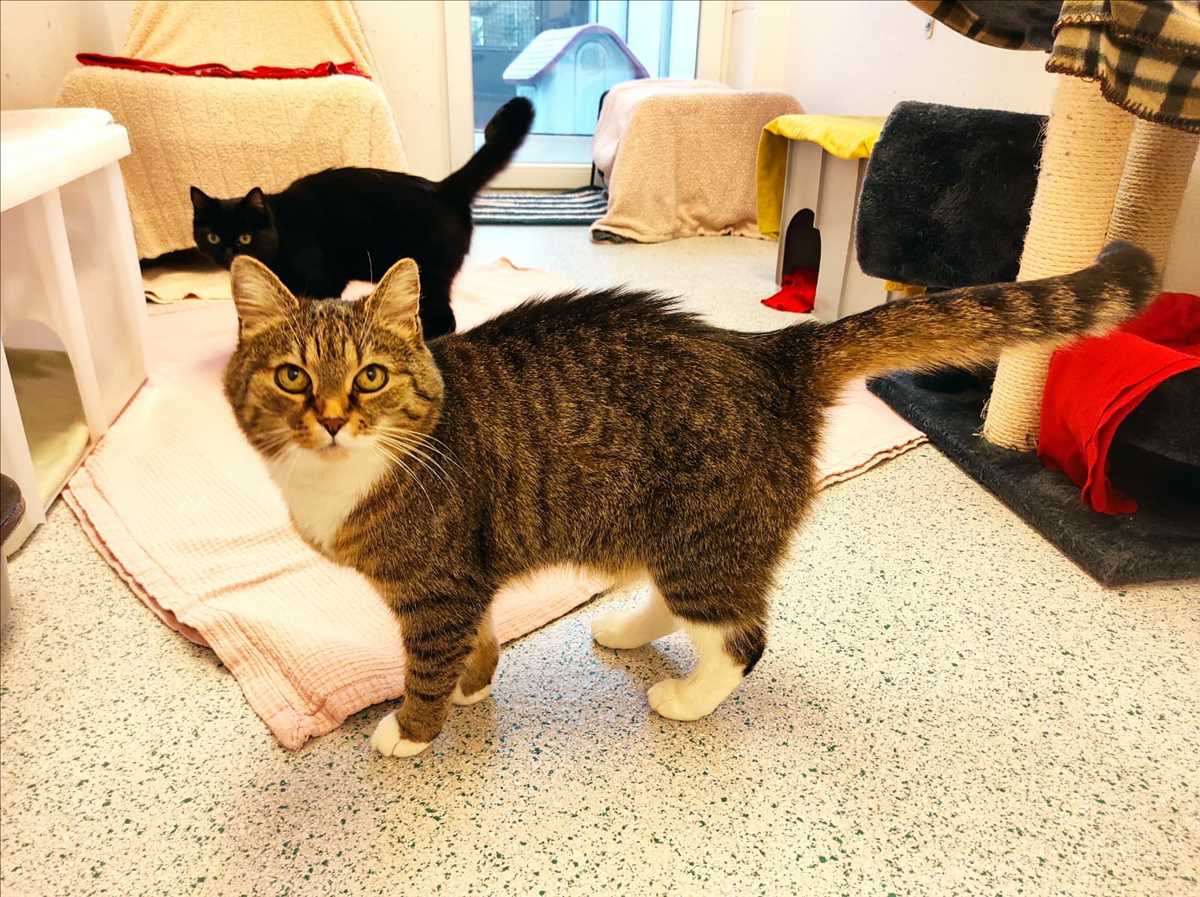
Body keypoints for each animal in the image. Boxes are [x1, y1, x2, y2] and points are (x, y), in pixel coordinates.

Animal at [190, 97, 534, 340]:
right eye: (213, 237)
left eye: (245, 237)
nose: (229, 252)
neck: (280, 235)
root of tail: (443, 188)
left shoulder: (320, 278)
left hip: (429, 276)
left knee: (444, 320)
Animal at [222, 241, 1155, 758]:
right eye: (293, 377)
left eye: (370, 378)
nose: (331, 417)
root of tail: (772, 350)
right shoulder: (468, 577)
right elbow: (477, 640)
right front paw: (472, 686)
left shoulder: (438, 584)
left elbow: (427, 662)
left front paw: (415, 728)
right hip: (674, 535)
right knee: (690, 605)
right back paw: (628, 627)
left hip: (705, 537)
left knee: (742, 635)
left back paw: (686, 696)